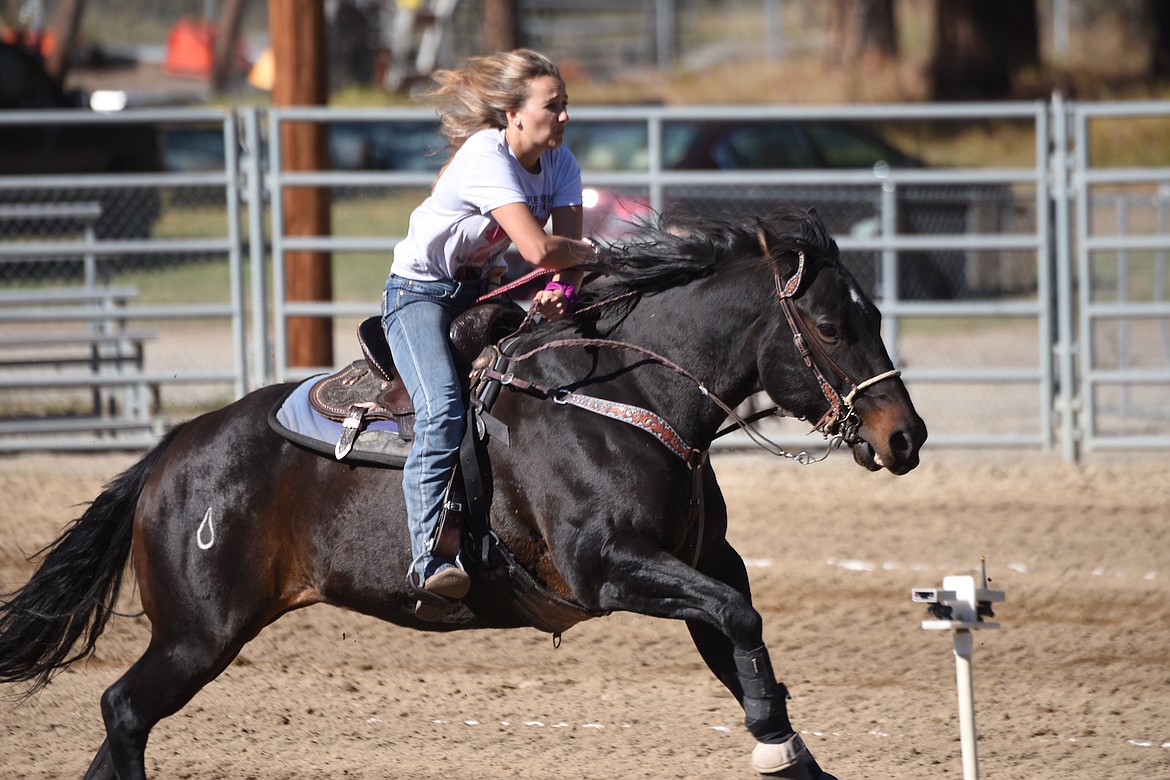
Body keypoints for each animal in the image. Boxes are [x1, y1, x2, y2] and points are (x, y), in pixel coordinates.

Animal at [4, 204, 926, 776]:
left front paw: (785, 743)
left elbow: (741, 638)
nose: (905, 437)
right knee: (123, 710)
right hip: (197, 635)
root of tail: (167, 456)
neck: (628, 394)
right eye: (832, 325)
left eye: (876, 314)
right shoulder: (609, 568)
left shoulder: (703, 563)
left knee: (120, 726)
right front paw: (774, 743)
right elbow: (740, 624)